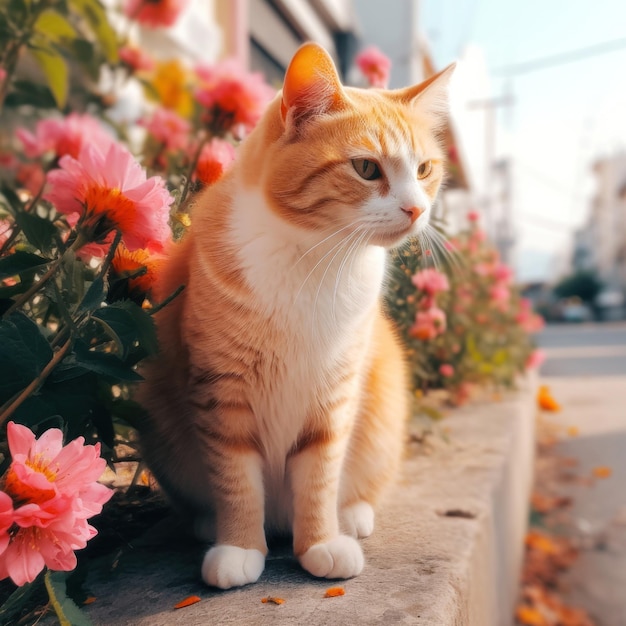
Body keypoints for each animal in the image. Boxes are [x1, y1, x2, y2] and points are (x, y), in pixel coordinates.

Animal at [138, 41, 454, 588]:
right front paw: (239, 547)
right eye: (367, 169)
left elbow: (319, 474)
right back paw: (209, 525)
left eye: (424, 170)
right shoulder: (221, 390)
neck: (314, 259)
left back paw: (352, 515)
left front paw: (321, 543)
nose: (416, 210)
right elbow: (236, 478)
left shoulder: (334, 392)